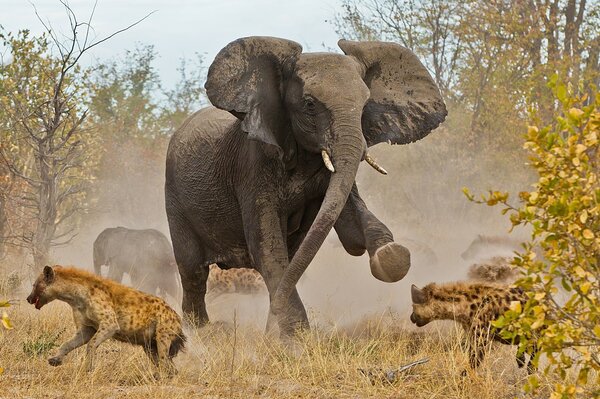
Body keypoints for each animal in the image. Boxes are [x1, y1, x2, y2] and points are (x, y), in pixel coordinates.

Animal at [164, 36, 446, 336]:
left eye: (365, 105)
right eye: (310, 104)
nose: (267, 330)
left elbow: (350, 227)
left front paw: (391, 255)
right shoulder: (253, 164)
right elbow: (266, 246)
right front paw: (294, 338)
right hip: (175, 198)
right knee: (193, 271)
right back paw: (199, 331)